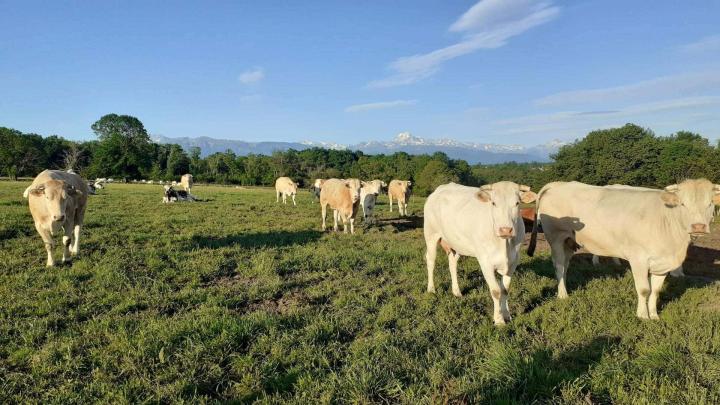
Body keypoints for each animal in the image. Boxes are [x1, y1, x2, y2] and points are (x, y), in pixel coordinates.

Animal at [424, 181, 536, 324]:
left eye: (517, 203)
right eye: (493, 203)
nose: (505, 230)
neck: (504, 245)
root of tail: (441, 188)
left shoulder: (513, 261)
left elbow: (505, 290)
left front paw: (507, 315)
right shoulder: (485, 262)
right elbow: (496, 291)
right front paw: (499, 320)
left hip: (455, 243)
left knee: (452, 263)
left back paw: (456, 291)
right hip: (430, 234)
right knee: (431, 261)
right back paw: (431, 289)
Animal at [524, 180, 716, 318]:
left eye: (710, 204)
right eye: (683, 204)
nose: (698, 226)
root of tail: (558, 184)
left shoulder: (662, 263)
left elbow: (655, 291)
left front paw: (654, 315)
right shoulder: (638, 259)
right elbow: (644, 289)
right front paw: (643, 316)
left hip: (569, 240)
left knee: (565, 265)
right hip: (556, 237)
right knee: (558, 266)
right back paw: (563, 295)